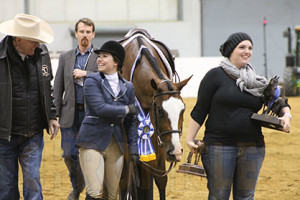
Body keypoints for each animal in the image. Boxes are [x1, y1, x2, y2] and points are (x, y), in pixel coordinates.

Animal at [118, 29, 191, 200]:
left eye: (183, 109)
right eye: (159, 110)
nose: (175, 151)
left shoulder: (158, 140)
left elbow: (160, 179)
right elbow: (127, 178)